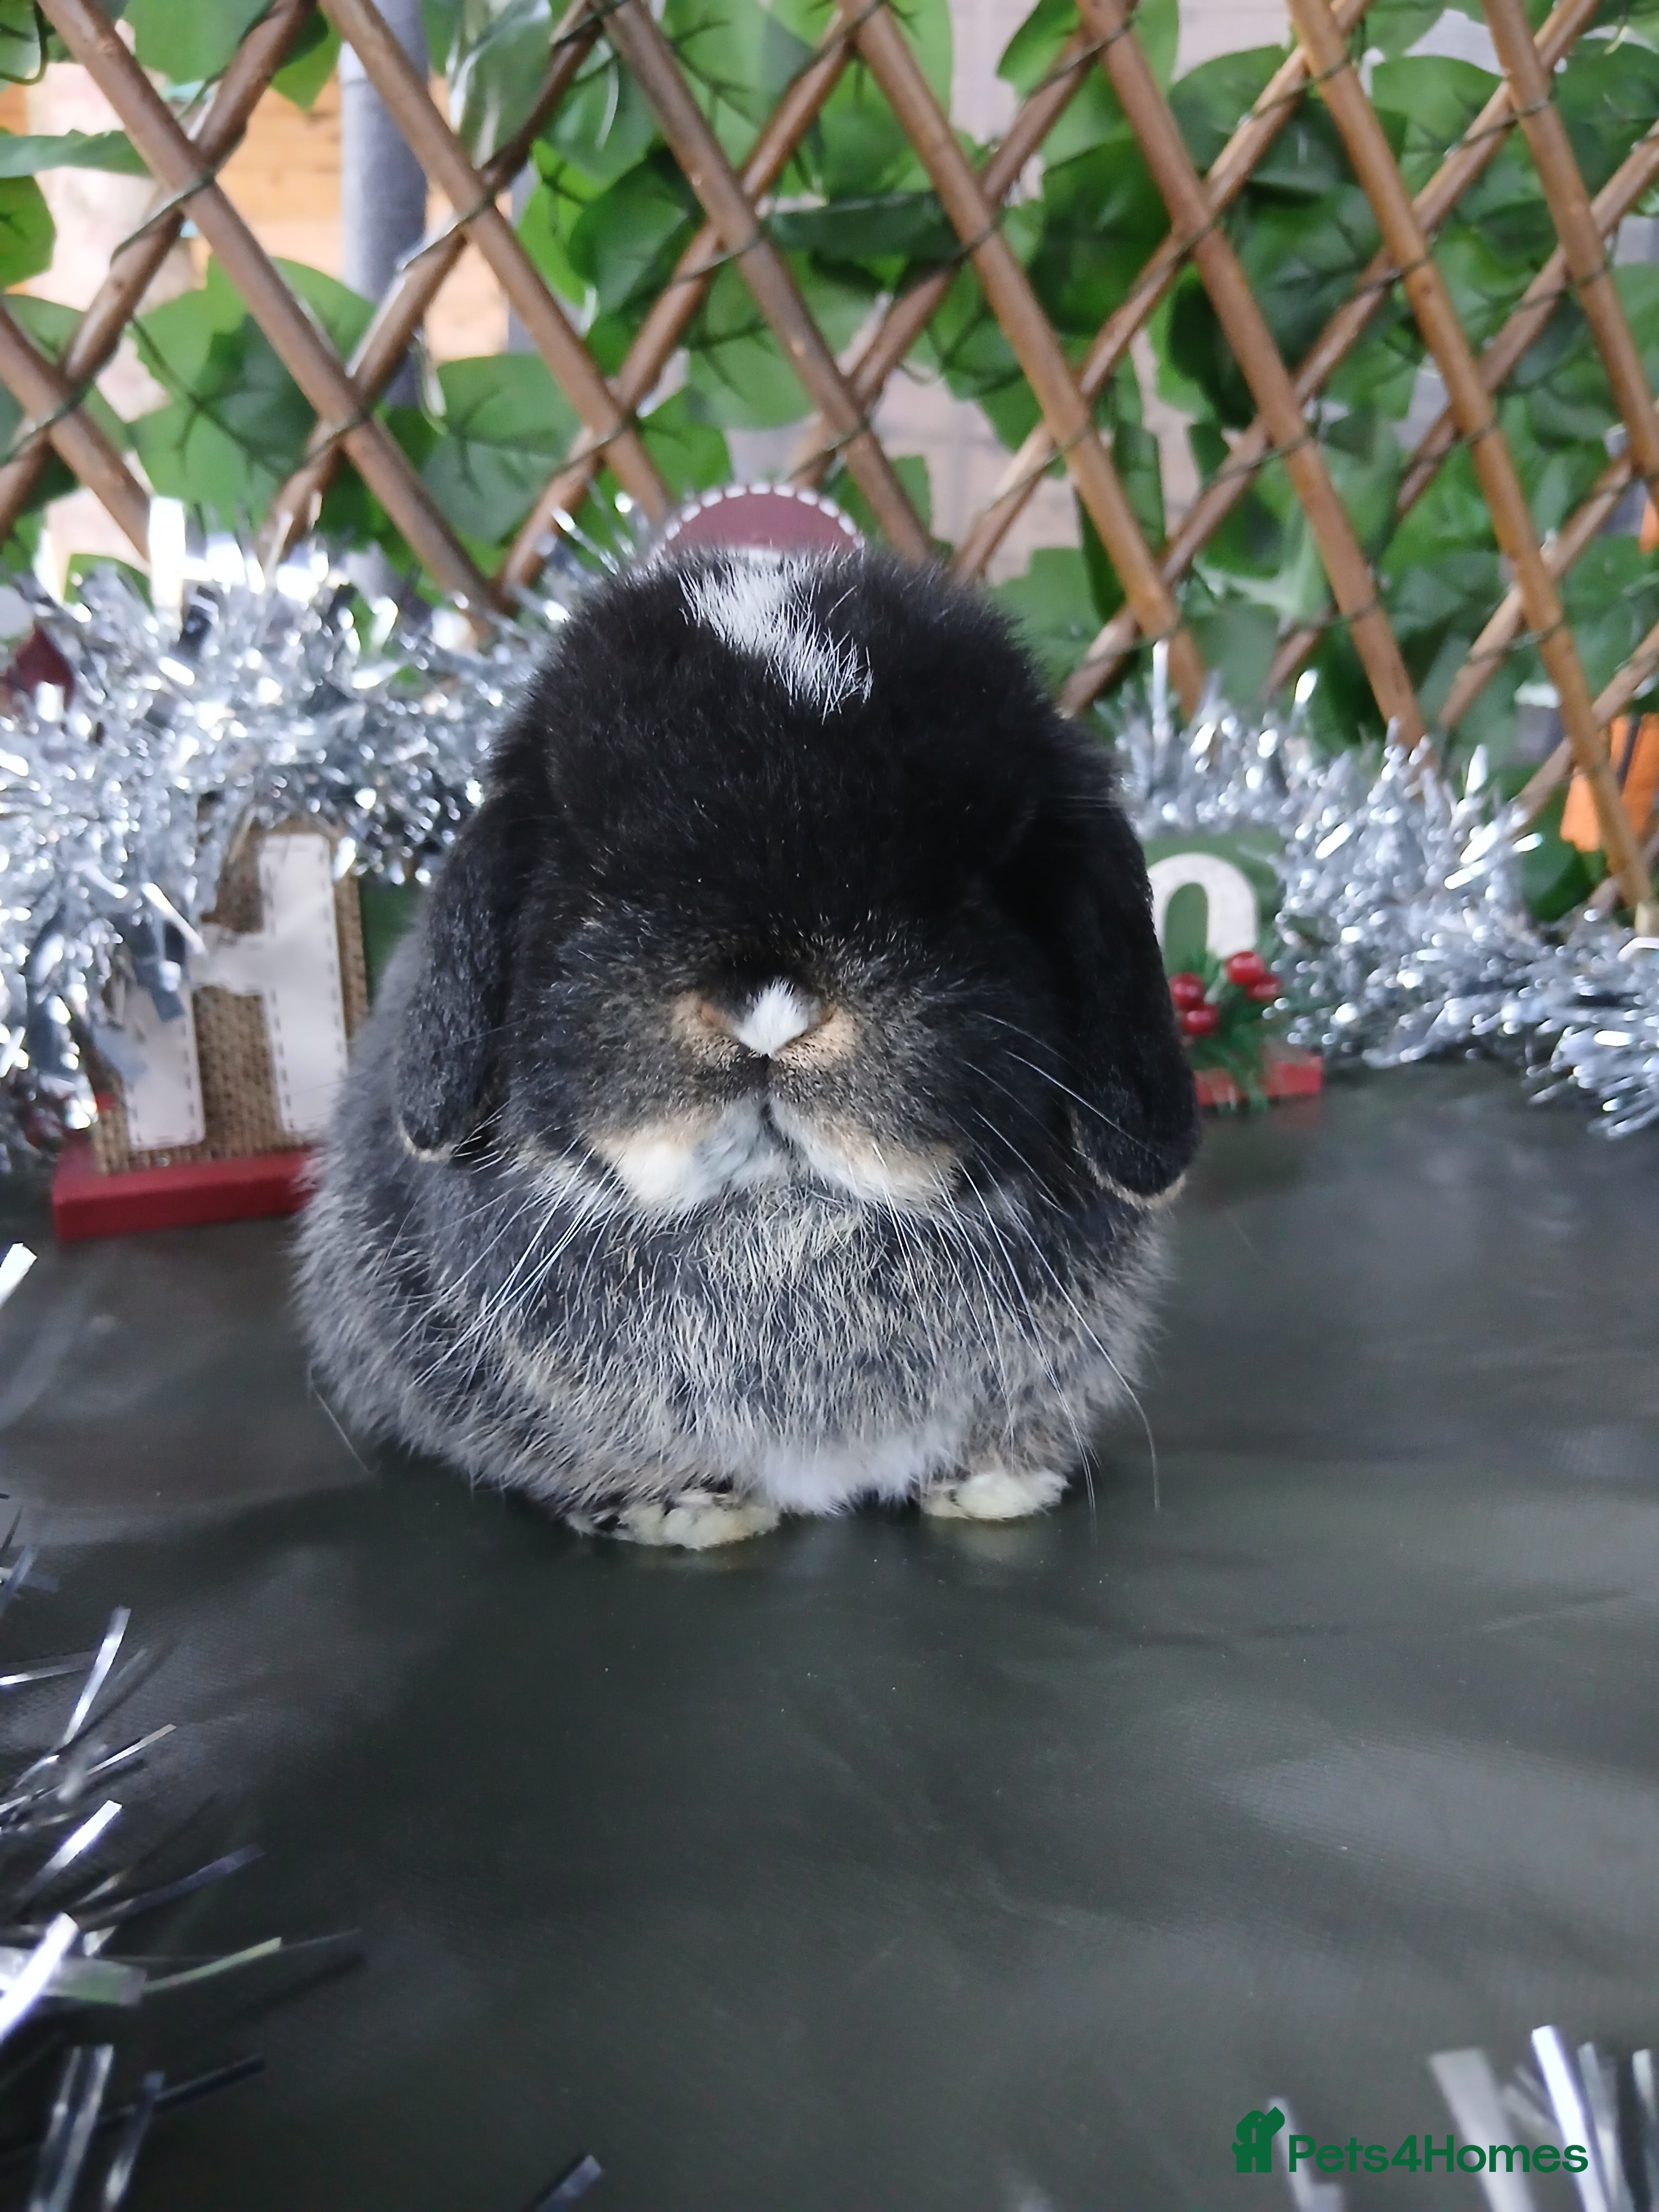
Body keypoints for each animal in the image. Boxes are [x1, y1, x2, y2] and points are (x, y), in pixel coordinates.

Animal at [298, 547, 1199, 1548]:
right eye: (591, 871)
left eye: (978, 877)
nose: (768, 1013)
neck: (785, 1227)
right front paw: (686, 1512)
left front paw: (995, 1488)